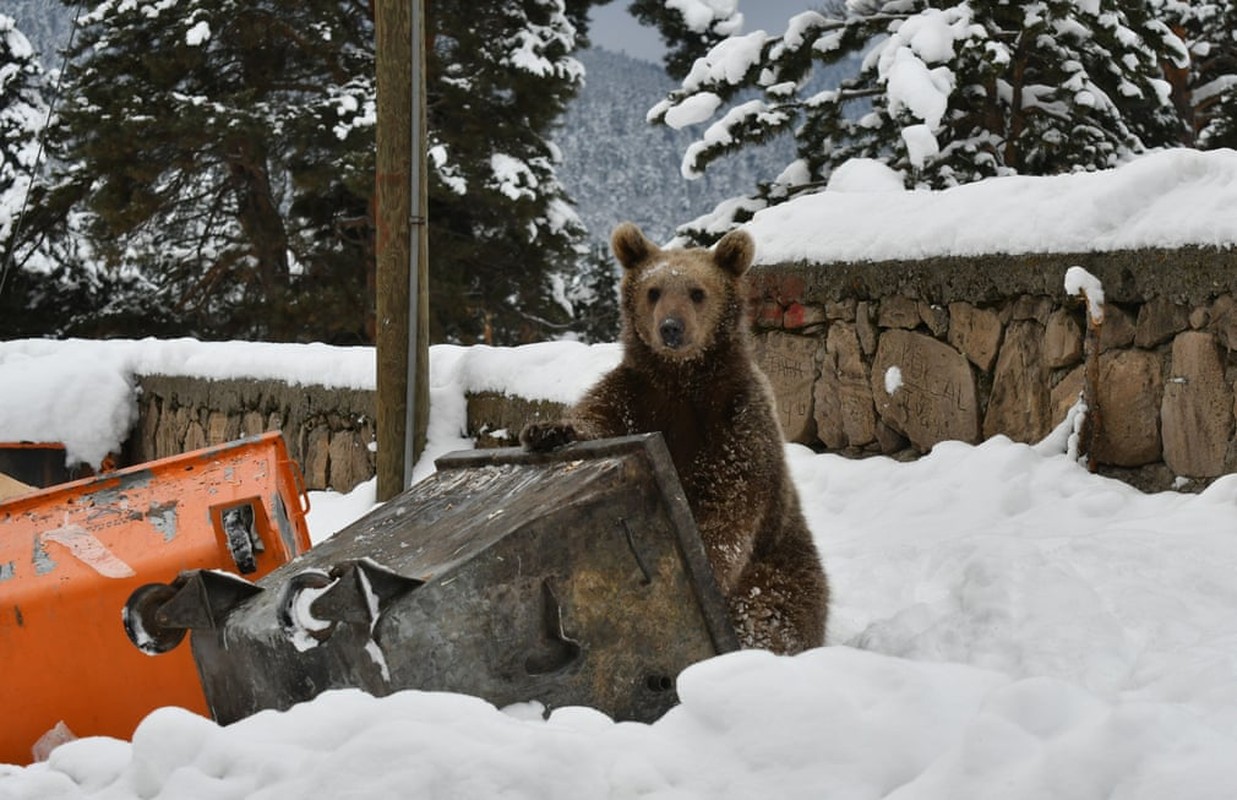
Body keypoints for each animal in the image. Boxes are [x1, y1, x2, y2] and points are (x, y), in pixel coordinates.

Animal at [522, 222, 831, 652]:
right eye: (653, 291)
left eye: (697, 292)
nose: (671, 328)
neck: (682, 379)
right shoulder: (637, 396)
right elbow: (595, 415)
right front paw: (547, 430)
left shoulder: (734, 418)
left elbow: (729, 503)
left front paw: (703, 567)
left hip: (782, 569)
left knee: (768, 614)